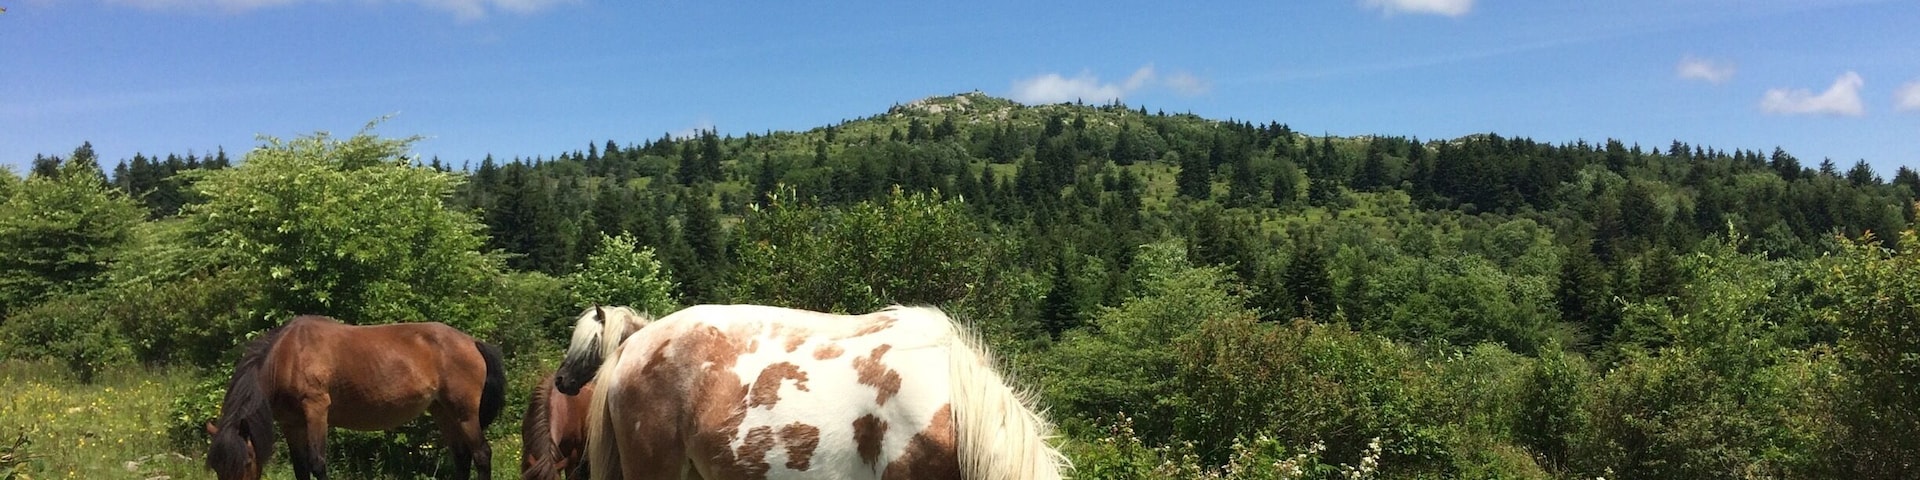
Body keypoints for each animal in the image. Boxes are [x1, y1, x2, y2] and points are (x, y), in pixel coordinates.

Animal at [205, 315, 508, 480]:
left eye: (246, 462)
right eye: (218, 467)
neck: (288, 355)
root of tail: (472, 342)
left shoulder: (316, 411)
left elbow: (317, 463)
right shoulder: (291, 424)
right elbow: (300, 468)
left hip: (465, 413)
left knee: (481, 454)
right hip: (443, 412)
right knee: (461, 456)